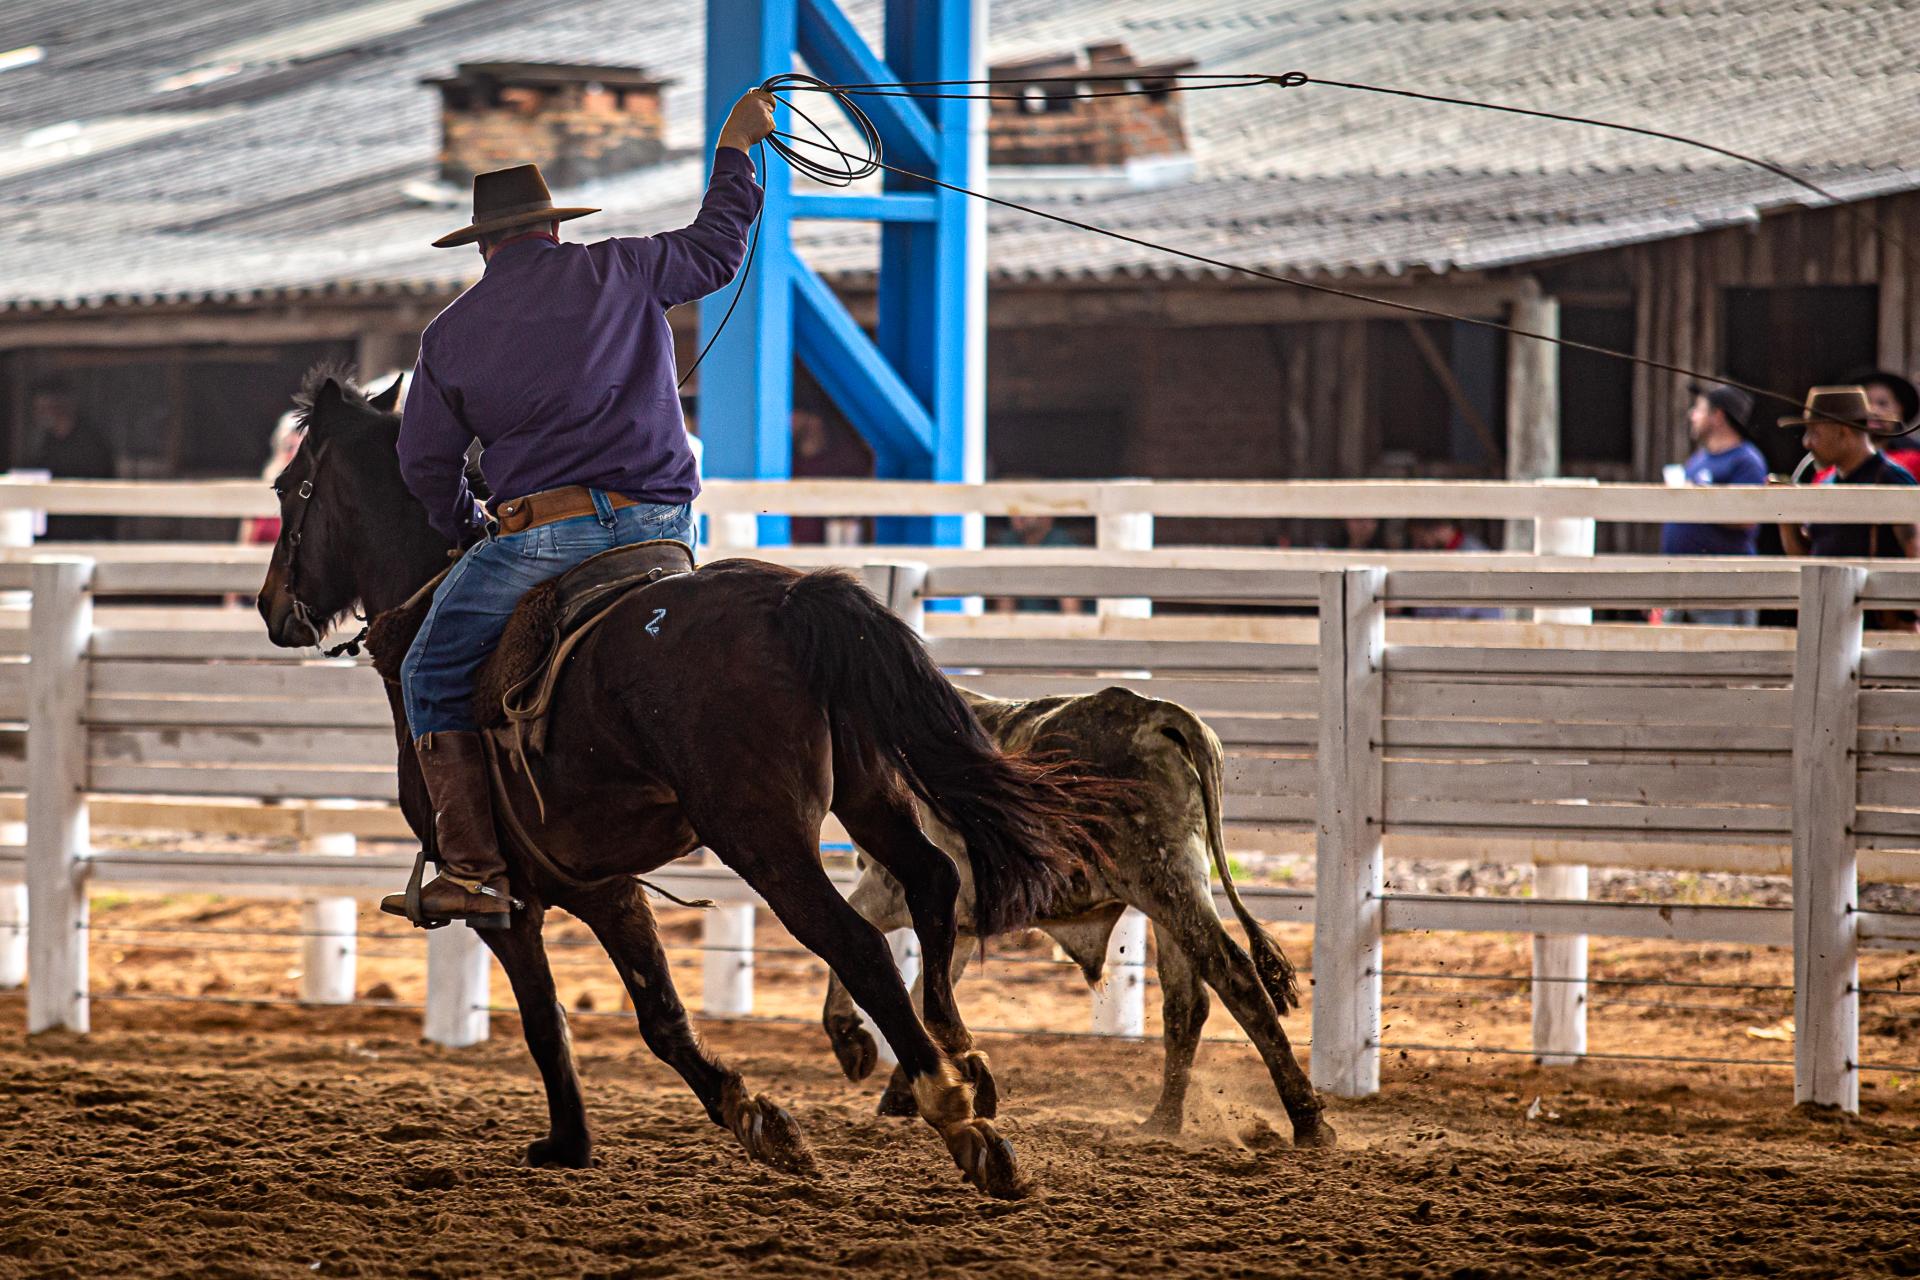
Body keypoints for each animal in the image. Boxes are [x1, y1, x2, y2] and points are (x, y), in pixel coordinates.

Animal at [249, 372, 1105, 1205]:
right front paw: (752, 1117)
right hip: (870, 795)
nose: (268, 606)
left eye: (291, 486)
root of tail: (790, 603)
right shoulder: (603, 883)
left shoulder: (509, 900)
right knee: (932, 882)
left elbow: (544, 1020)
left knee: (858, 942)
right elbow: (657, 1012)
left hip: (763, 838)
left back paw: (957, 1116)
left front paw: (571, 1142)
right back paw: (965, 1060)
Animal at [825, 687, 1336, 1143]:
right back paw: (1164, 1121)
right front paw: (906, 1091)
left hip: (1164, 883)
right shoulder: (963, 921)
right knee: (1187, 1002)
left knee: (1235, 976)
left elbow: (860, 943)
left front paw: (851, 1038)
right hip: (1175, 892)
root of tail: (1157, 713)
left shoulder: (893, 887)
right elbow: (927, 991)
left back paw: (1308, 1120)